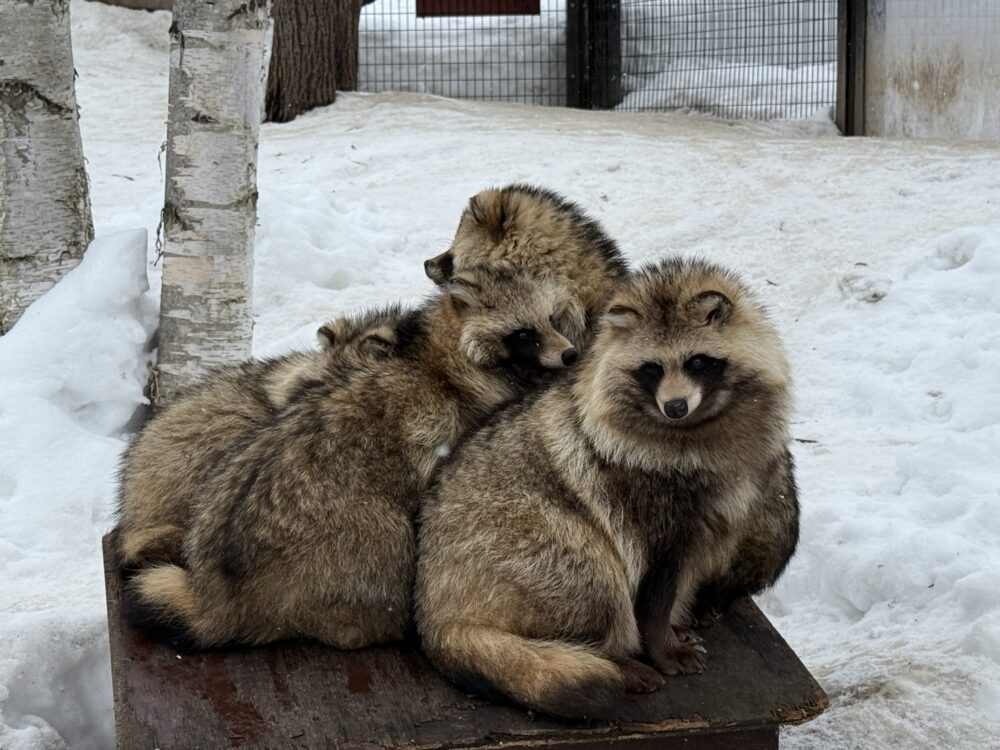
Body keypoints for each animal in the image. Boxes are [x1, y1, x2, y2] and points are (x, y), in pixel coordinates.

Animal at [123, 268, 584, 652]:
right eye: (524, 334)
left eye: (552, 320)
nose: (571, 355)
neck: (433, 352)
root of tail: (221, 595)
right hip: (361, 540)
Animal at [414, 258, 796, 724]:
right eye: (652, 369)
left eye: (696, 362)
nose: (675, 407)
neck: (695, 427)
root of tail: (435, 607)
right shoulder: (643, 505)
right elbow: (653, 590)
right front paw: (660, 645)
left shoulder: (716, 509)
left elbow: (688, 571)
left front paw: (674, 625)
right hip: (526, 548)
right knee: (596, 574)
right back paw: (612, 657)